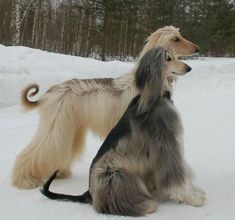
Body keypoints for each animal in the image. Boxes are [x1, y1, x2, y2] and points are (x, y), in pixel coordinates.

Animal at [12, 25, 200, 188]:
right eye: (176, 39)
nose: (197, 50)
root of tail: (50, 92)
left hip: (71, 127)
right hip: (56, 125)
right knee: (38, 150)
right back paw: (24, 179)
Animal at [40, 47, 206, 216]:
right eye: (168, 59)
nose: (188, 68)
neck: (156, 97)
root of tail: (90, 193)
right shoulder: (165, 142)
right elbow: (175, 173)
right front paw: (192, 197)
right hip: (114, 174)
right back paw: (145, 204)